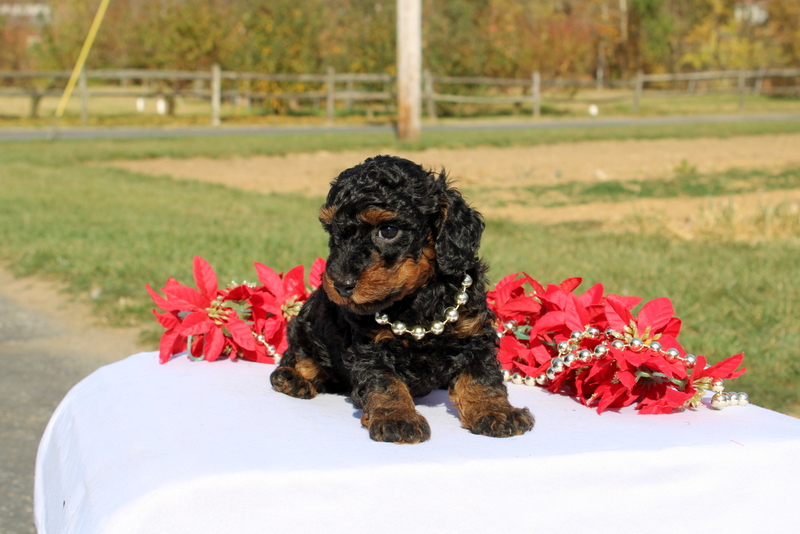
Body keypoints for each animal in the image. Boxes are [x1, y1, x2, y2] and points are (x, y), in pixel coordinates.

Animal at [272, 157, 536, 446]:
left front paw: (496, 411)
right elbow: (386, 383)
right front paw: (397, 419)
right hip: (304, 330)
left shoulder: (474, 333)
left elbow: (481, 376)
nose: (340, 284)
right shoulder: (370, 347)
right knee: (299, 359)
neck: (417, 300)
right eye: (333, 232)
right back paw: (293, 378)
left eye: (388, 230)